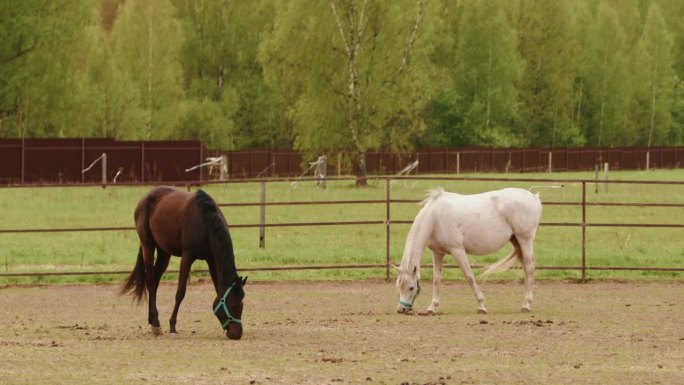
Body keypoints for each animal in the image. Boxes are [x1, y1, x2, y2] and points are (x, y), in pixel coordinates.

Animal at [121, 186, 247, 340]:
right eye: (234, 305)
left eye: (242, 304)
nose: (237, 333)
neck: (206, 222)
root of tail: (146, 197)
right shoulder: (187, 257)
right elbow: (180, 292)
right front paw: (172, 326)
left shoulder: (211, 260)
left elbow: (218, 289)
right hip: (148, 245)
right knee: (150, 280)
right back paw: (156, 323)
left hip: (164, 252)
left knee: (155, 281)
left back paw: (153, 320)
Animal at [392, 187, 544, 316]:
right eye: (398, 287)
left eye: (411, 287)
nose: (401, 309)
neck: (435, 218)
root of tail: (533, 197)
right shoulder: (437, 253)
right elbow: (436, 279)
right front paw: (432, 307)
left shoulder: (457, 250)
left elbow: (469, 275)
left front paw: (481, 305)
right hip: (517, 240)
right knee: (526, 268)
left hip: (525, 239)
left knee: (530, 268)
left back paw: (526, 305)